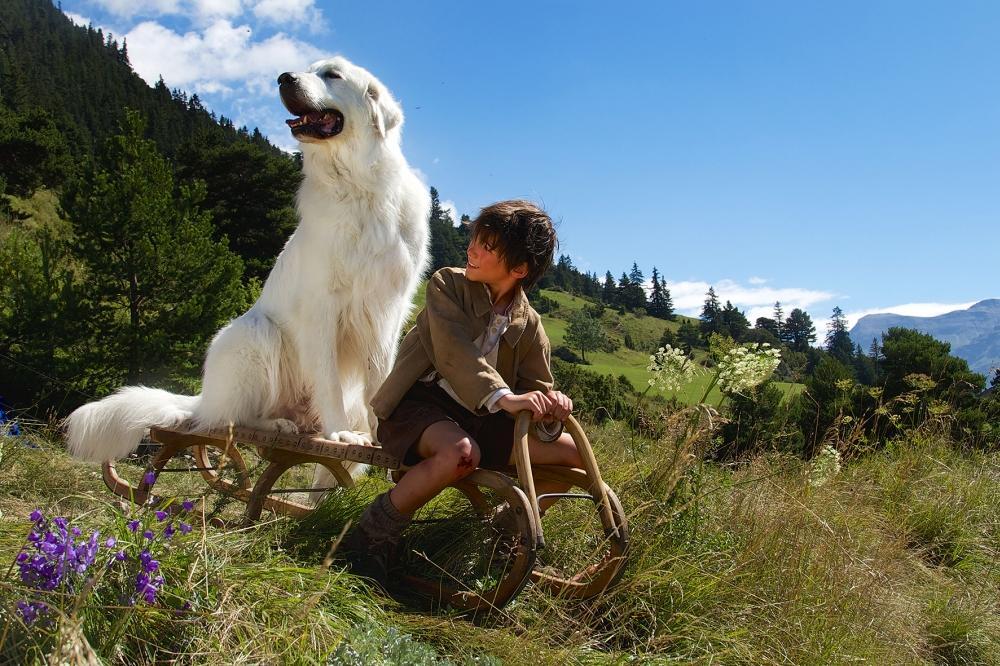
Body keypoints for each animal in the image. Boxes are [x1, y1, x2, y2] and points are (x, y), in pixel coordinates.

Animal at [64, 57, 432, 474]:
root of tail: (203, 397)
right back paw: (281, 424)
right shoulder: (322, 307)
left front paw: (380, 435)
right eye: (309, 69)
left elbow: (382, 381)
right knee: (233, 418)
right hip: (255, 333)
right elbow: (328, 380)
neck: (358, 188)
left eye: (332, 75)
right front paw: (340, 434)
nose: (284, 78)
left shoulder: (387, 311)